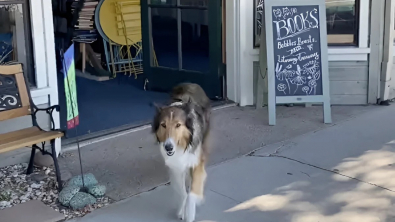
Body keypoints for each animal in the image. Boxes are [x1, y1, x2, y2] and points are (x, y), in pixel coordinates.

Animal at [152, 83, 210, 222]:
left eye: (178, 125)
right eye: (163, 125)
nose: (168, 147)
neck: (183, 145)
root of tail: (190, 84)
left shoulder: (196, 162)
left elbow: (191, 193)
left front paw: (190, 213)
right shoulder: (176, 166)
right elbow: (182, 193)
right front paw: (181, 210)